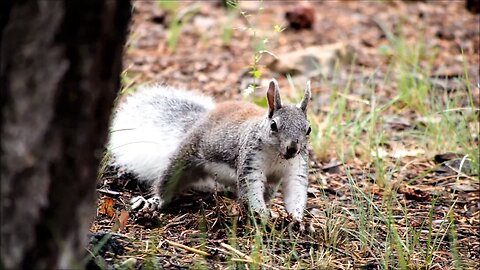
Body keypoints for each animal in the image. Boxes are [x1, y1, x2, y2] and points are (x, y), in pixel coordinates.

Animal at [108, 78, 312, 221]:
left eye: (308, 129)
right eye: (273, 125)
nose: (292, 148)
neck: (278, 156)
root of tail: (199, 120)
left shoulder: (296, 169)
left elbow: (295, 191)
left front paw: (296, 220)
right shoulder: (250, 160)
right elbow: (251, 189)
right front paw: (262, 214)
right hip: (184, 158)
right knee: (166, 182)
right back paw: (153, 201)